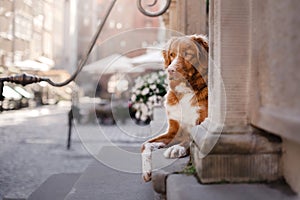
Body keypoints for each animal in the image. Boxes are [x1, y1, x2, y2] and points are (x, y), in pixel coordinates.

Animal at [141, 34, 209, 181]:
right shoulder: (173, 131)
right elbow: (145, 144)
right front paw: (146, 170)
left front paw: (177, 148)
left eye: (188, 54)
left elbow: (190, 139)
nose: (170, 70)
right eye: (171, 55)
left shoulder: (201, 123)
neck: (186, 91)